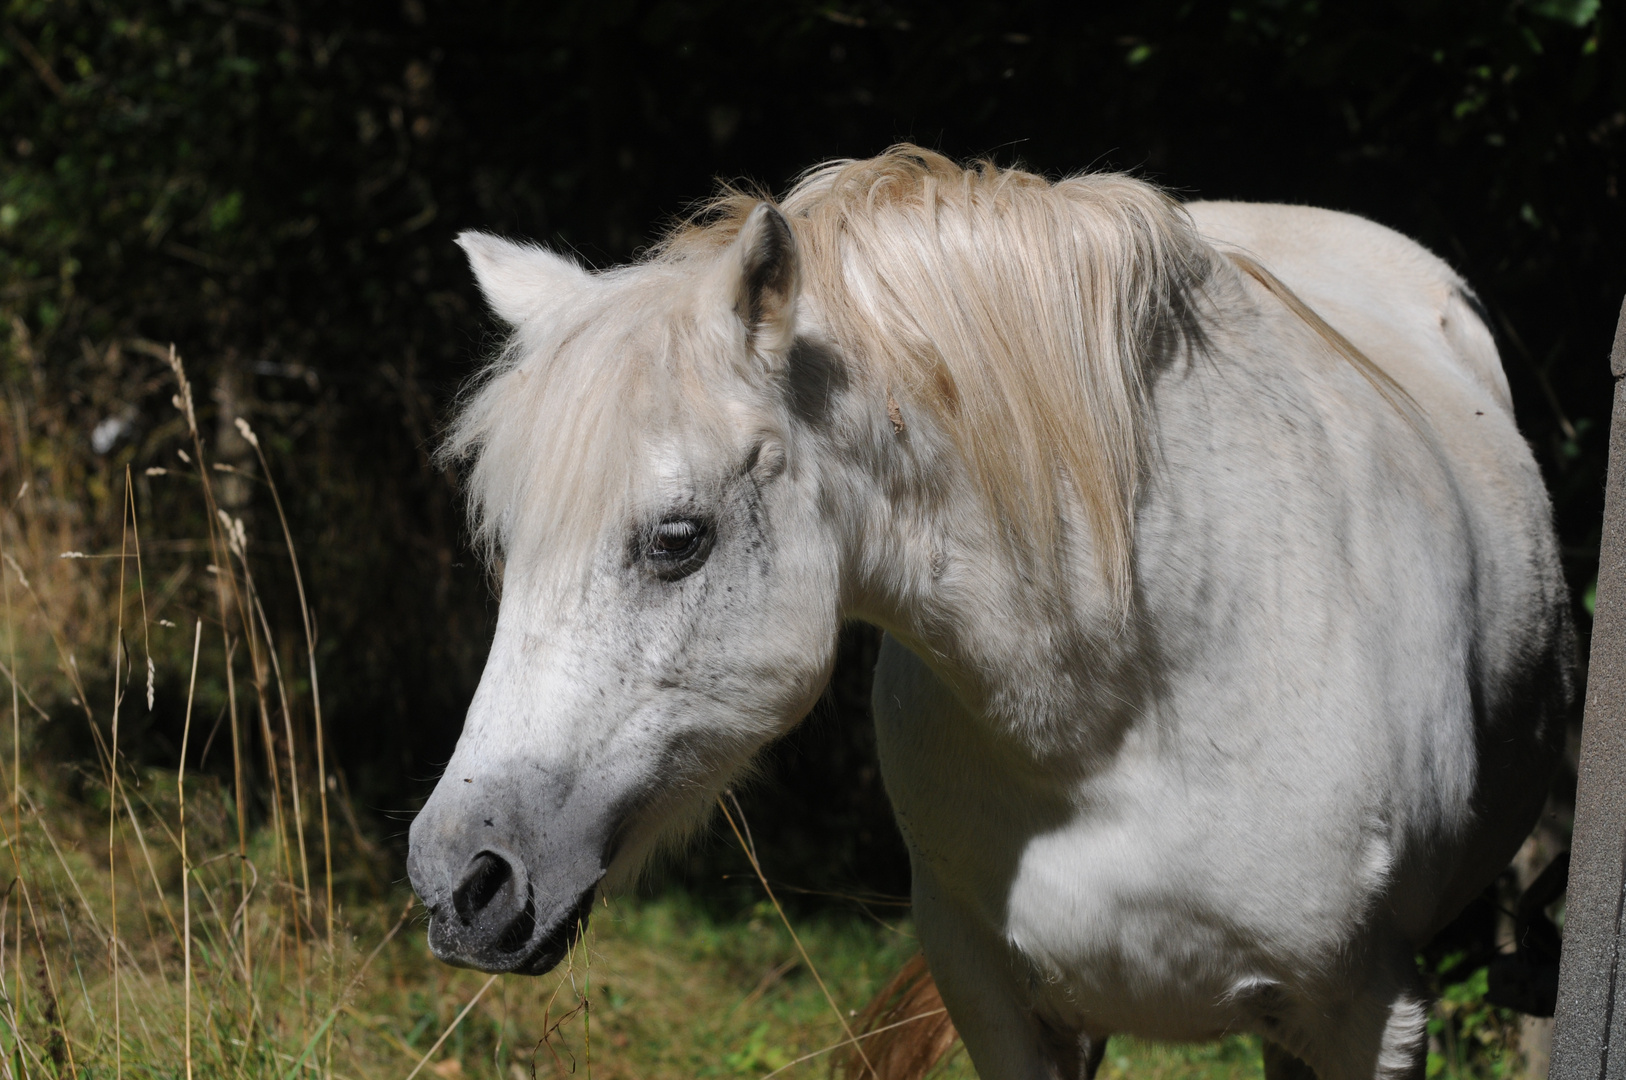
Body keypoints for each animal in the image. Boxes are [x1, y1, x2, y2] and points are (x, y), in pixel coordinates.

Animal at [409, 149, 1573, 1080]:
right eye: (507, 545)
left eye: (678, 539)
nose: (458, 879)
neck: (1135, 696)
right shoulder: (1001, 1002)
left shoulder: (1369, 1015)